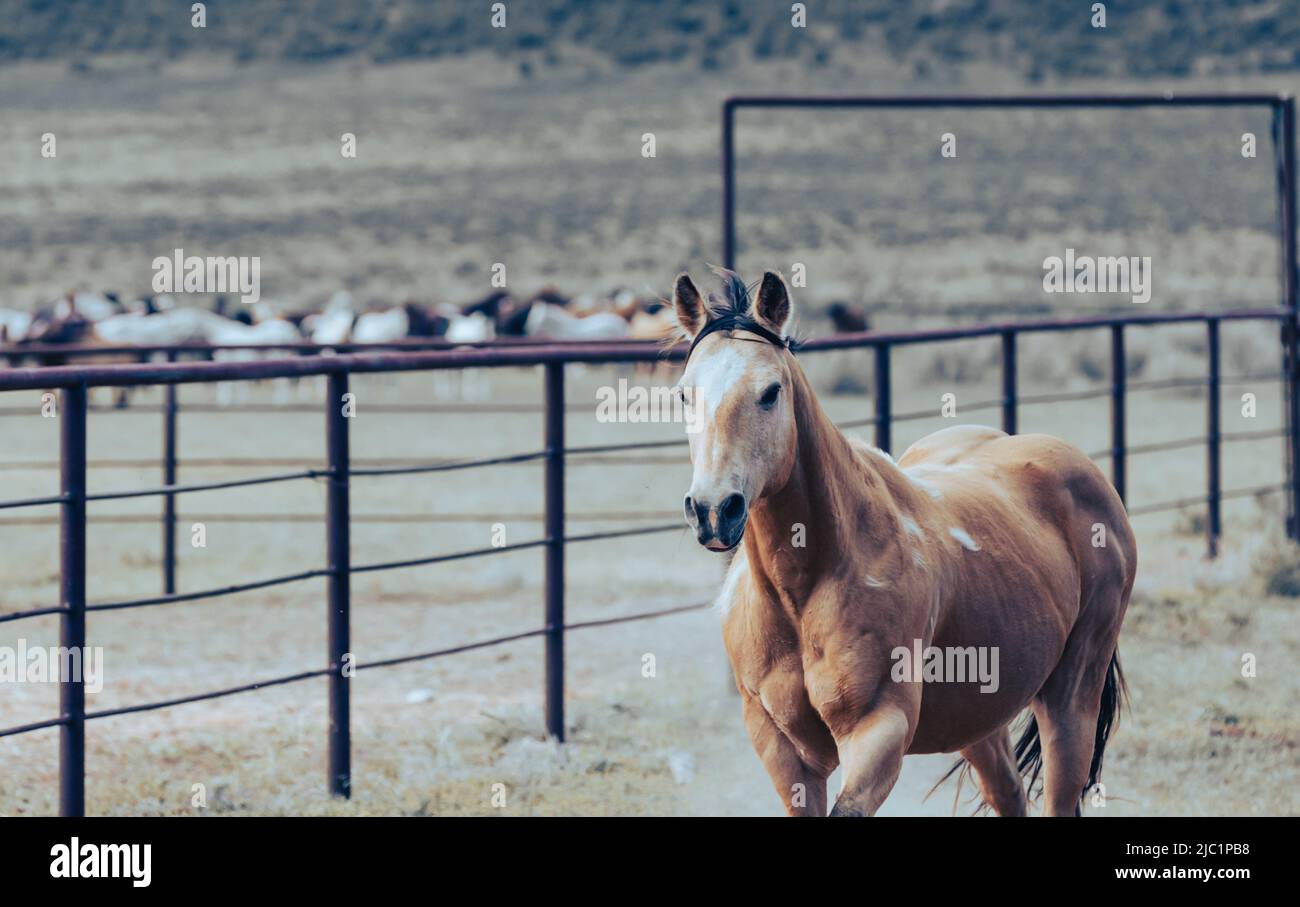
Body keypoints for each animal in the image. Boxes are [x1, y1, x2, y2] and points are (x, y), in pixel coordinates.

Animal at [672, 269, 1135, 817]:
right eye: (684, 395)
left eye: (770, 391)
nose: (713, 510)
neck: (805, 588)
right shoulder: (782, 748)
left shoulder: (878, 731)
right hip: (980, 721)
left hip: (1069, 701)